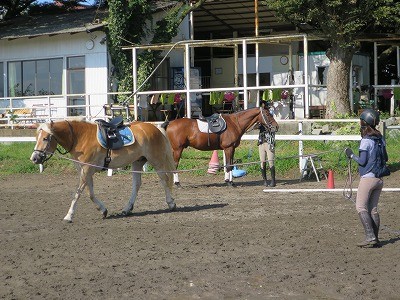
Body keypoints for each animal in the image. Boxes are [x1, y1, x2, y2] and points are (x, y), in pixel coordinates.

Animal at [29, 120, 177, 223]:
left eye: (46, 138)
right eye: (37, 138)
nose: (34, 158)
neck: (80, 138)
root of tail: (155, 127)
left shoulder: (86, 170)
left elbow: (78, 193)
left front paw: (69, 215)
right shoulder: (85, 171)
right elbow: (90, 193)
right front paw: (103, 210)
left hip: (156, 161)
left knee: (164, 180)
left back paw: (171, 203)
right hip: (137, 162)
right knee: (137, 184)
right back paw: (127, 209)